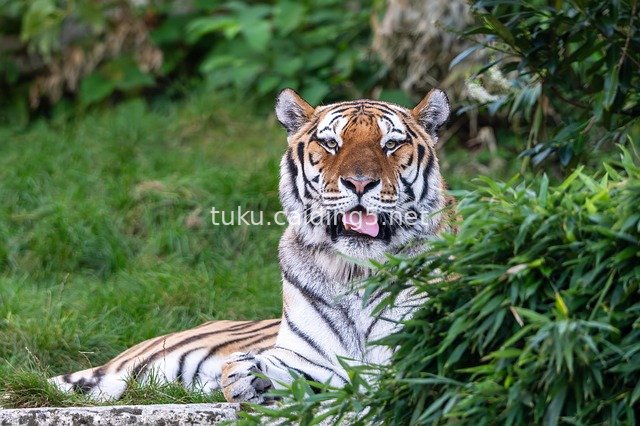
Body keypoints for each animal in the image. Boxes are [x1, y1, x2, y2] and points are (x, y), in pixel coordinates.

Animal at [50, 87, 452, 404]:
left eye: (391, 144)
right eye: (330, 143)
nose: (359, 183)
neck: (354, 270)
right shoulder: (310, 359)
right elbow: (255, 372)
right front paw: (247, 379)